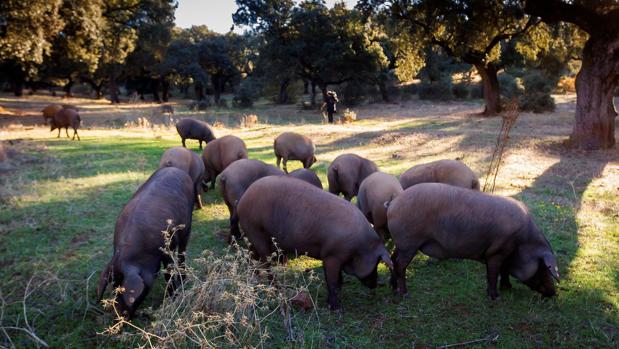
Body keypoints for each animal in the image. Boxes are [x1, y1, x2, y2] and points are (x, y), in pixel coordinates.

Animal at [95, 167, 194, 318]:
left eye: (124, 290)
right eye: (114, 286)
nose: (119, 317)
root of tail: (176, 169)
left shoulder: (168, 247)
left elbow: (168, 273)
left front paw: (172, 299)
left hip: (187, 223)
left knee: (183, 250)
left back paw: (184, 279)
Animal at [237, 175, 392, 308]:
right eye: (377, 262)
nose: (375, 284)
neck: (360, 248)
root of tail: (243, 199)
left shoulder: (330, 257)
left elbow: (336, 280)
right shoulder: (332, 256)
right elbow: (332, 281)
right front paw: (335, 308)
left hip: (252, 237)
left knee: (251, 257)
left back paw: (255, 279)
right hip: (256, 231)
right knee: (265, 262)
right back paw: (276, 287)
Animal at [388, 182, 560, 300]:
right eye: (544, 267)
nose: (554, 292)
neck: (522, 243)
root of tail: (393, 203)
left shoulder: (505, 254)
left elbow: (504, 271)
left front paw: (508, 288)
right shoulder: (496, 252)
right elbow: (493, 274)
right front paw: (496, 297)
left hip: (401, 244)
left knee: (392, 259)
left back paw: (393, 288)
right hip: (409, 243)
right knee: (400, 265)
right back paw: (405, 294)